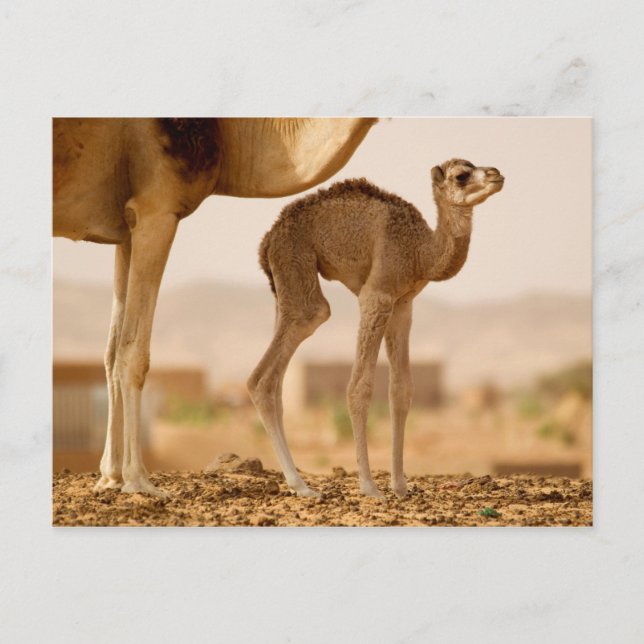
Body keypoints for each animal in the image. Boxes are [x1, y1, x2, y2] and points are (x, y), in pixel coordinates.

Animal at [53, 117, 376, 497]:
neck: (223, 133)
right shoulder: (156, 208)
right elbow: (134, 352)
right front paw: (138, 480)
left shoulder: (125, 229)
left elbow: (111, 351)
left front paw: (110, 477)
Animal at [248, 158, 504, 498]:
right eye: (461, 175)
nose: (496, 174)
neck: (420, 252)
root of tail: (267, 240)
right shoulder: (377, 295)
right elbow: (360, 387)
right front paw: (369, 486)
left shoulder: (404, 303)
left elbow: (401, 389)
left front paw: (400, 485)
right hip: (296, 266)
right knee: (275, 363)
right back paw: (302, 486)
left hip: (284, 287)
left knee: (275, 378)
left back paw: (299, 482)